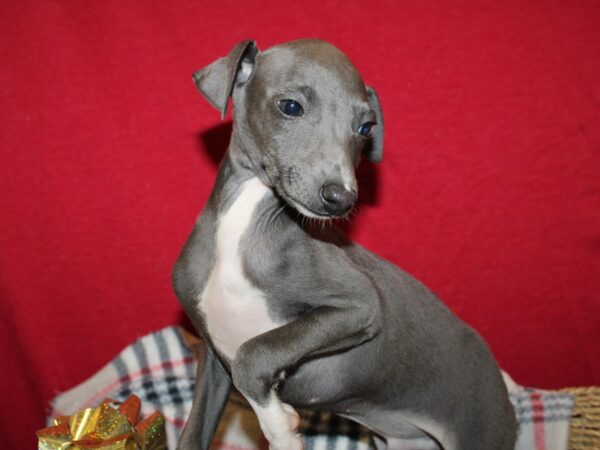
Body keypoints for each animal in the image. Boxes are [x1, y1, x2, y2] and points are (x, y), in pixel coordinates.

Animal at [172, 38, 516, 450]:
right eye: (290, 107)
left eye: (365, 127)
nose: (341, 198)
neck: (243, 227)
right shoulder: (212, 358)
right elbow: (196, 430)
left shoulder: (359, 305)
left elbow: (254, 352)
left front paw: (281, 429)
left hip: (479, 431)